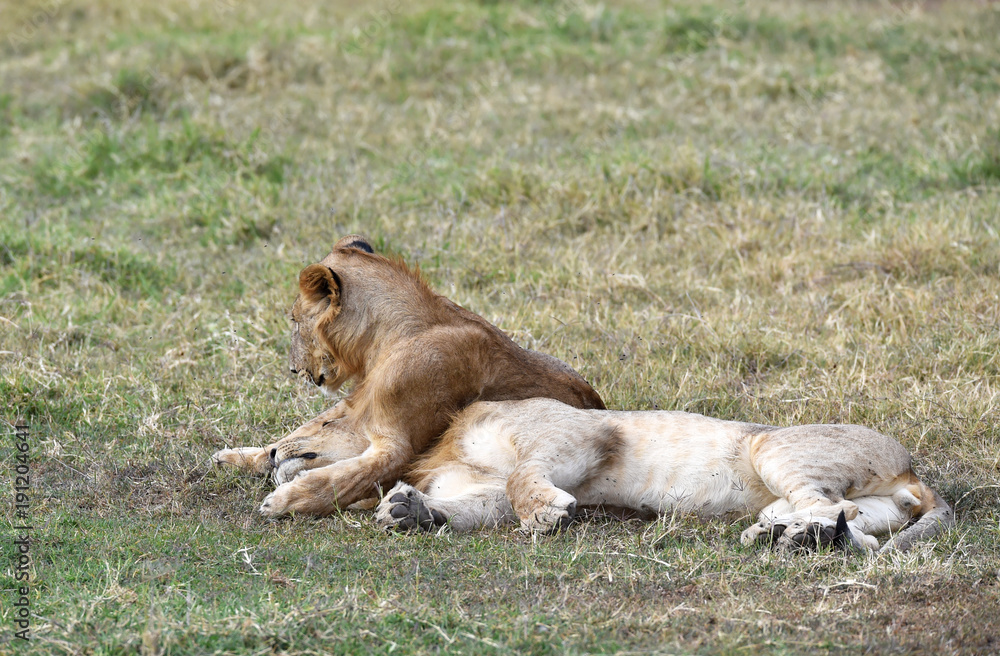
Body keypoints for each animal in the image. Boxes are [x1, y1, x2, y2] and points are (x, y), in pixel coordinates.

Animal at [213, 235, 605, 517]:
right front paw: (248, 460)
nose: (293, 369)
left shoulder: (398, 448)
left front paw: (283, 501)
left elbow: (343, 479)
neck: (386, 341)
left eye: (295, 321)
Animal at [376, 398, 954, 552]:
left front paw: (544, 513)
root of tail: (913, 472)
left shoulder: (582, 433)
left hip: (772, 445)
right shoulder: (487, 493)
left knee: (837, 508)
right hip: (869, 506)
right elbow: (475, 505)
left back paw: (797, 537)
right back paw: (785, 536)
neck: (448, 446)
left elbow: (524, 477)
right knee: (858, 528)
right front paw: (408, 510)